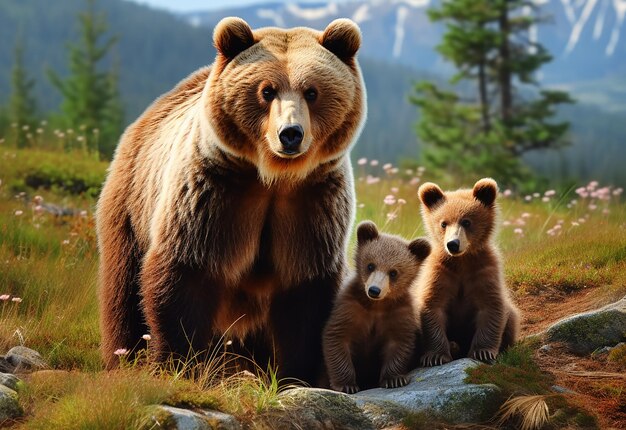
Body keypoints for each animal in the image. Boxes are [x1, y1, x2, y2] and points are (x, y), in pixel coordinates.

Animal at [95, 17, 364, 386]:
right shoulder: (216, 194)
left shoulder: (312, 202)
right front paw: (178, 364)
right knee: (123, 289)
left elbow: (305, 291)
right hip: (132, 206)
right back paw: (123, 357)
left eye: (312, 91)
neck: (273, 177)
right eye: (267, 90)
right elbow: (186, 272)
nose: (290, 134)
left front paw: (296, 375)